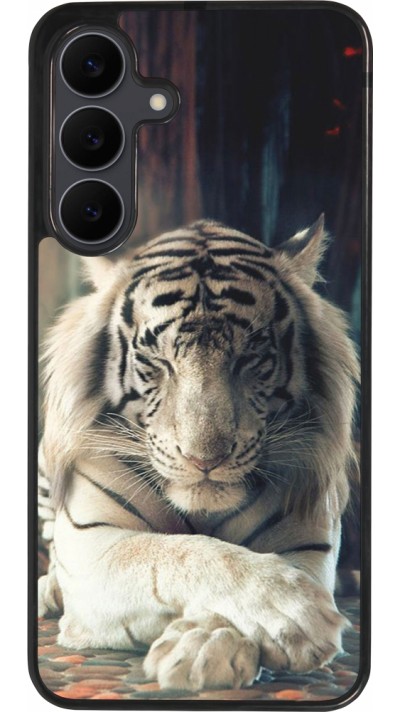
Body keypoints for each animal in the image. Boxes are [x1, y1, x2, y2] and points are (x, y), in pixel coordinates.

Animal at [38, 216, 359, 692]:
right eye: (157, 361)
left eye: (250, 358)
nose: (204, 460)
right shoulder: (93, 543)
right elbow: (180, 552)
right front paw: (293, 611)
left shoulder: (307, 542)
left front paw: (206, 646)